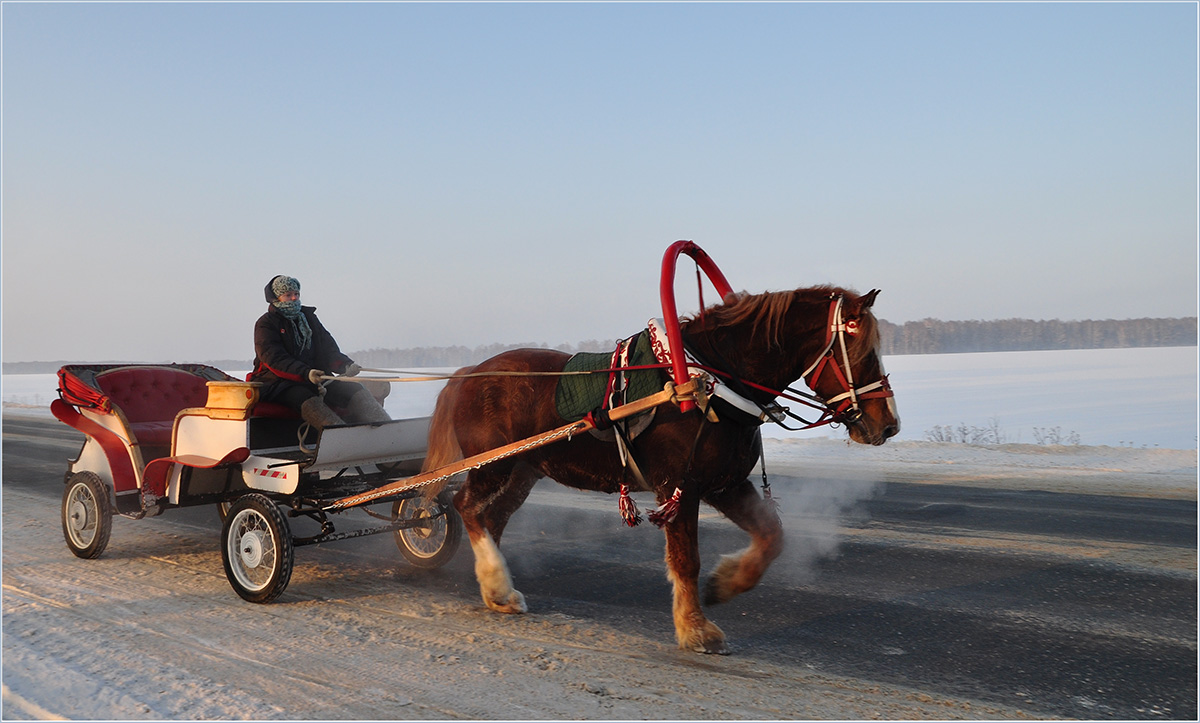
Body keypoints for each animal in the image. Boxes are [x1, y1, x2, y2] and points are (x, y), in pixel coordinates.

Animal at [422, 284, 902, 648]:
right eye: (860, 352)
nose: (889, 424)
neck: (707, 382)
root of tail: (467, 373)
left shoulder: (726, 484)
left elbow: (772, 536)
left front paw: (725, 583)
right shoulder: (680, 486)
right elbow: (686, 559)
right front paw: (696, 629)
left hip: (523, 471)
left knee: (492, 518)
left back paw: (497, 589)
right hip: (494, 467)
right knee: (467, 508)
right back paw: (495, 579)